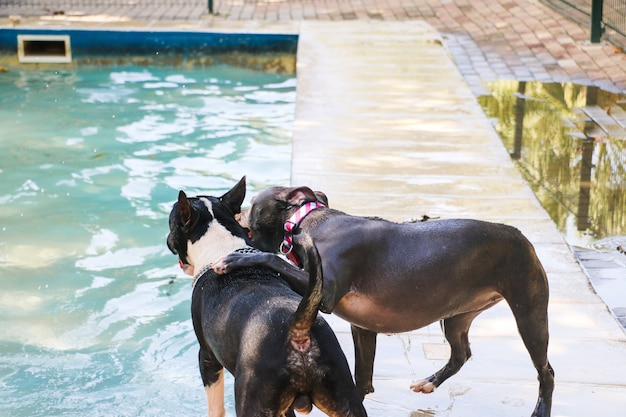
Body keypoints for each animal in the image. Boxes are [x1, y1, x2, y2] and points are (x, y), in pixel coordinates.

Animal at [166, 176, 366, 416]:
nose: (167, 240)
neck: (224, 246)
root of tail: (297, 327)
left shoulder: (207, 357)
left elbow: (215, 406)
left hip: (252, 400)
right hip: (345, 397)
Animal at [213, 184, 552, 416]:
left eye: (251, 204)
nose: (235, 211)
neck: (311, 225)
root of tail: (522, 236)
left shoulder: (325, 294)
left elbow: (272, 258)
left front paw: (237, 258)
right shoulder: (363, 329)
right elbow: (362, 381)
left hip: (529, 314)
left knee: (545, 371)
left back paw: (541, 409)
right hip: (456, 317)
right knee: (461, 354)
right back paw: (429, 381)